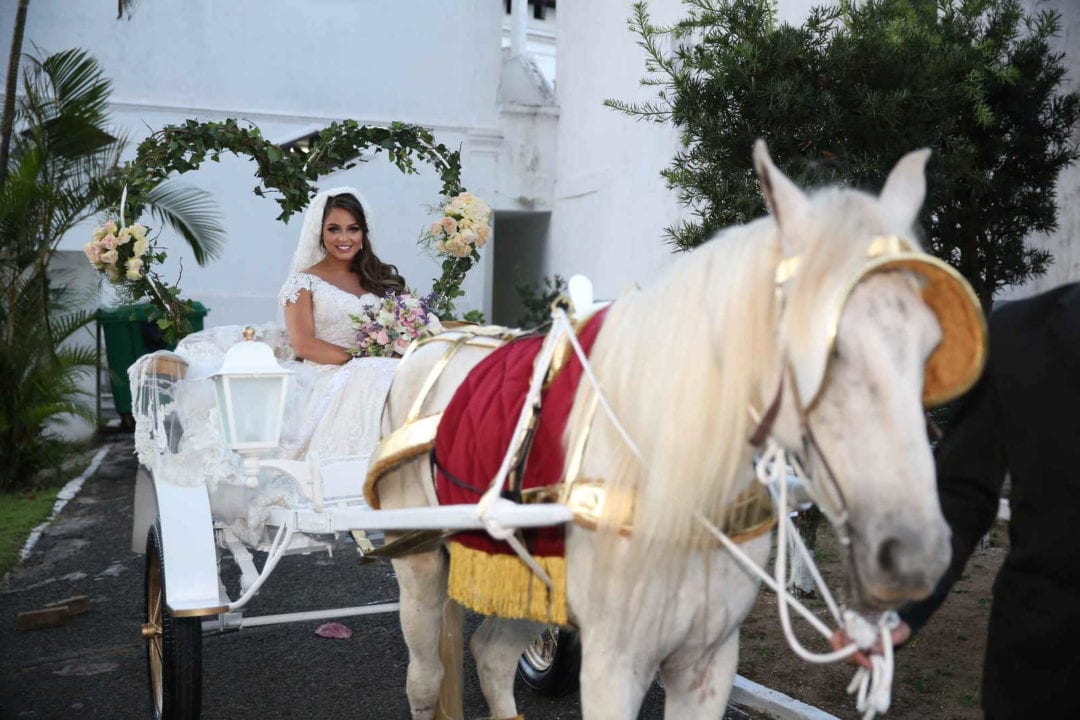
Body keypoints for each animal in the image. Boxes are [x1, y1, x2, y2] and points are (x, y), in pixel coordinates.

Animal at [371, 142, 989, 720]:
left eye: (930, 346)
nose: (917, 555)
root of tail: (430, 341)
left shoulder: (708, 660)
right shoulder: (614, 664)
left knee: (492, 655)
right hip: (421, 567)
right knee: (425, 678)